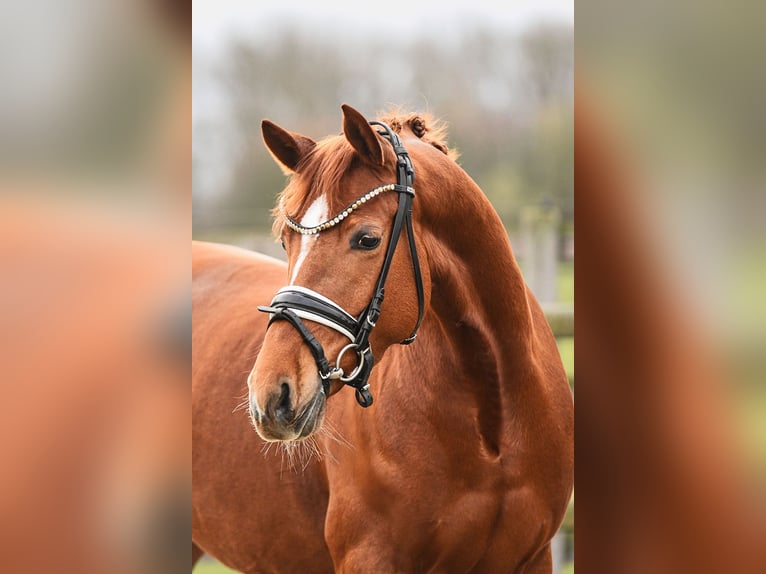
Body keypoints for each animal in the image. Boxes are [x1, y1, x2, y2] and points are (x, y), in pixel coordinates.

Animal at [195, 106, 572, 572]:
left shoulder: (533, 557)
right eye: (285, 241)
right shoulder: (369, 556)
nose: (271, 394)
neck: (494, 424)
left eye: (367, 239)